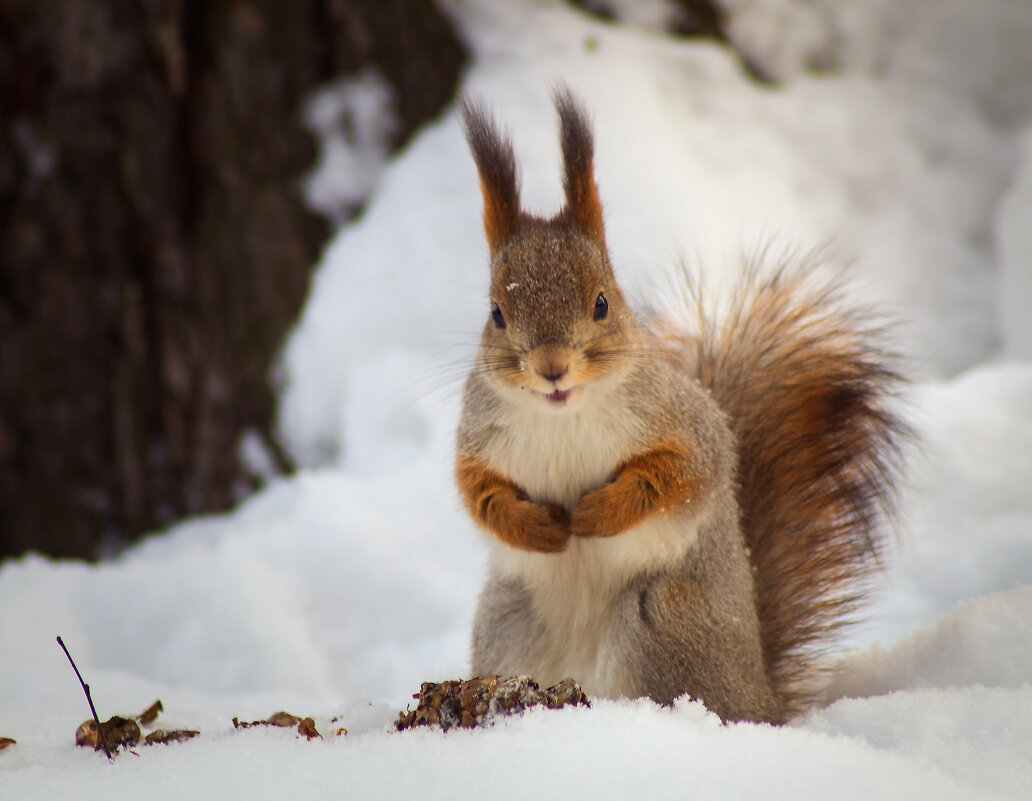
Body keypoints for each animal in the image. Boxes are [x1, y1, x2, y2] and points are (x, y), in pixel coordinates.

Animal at [456, 89, 908, 726]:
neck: (564, 415)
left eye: (602, 302)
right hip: (509, 624)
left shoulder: (685, 423)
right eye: (496, 313)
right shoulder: (477, 439)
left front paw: (598, 513)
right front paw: (535, 525)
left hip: (664, 617)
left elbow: (683, 475)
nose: (551, 367)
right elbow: (478, 493)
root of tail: (762, 693)